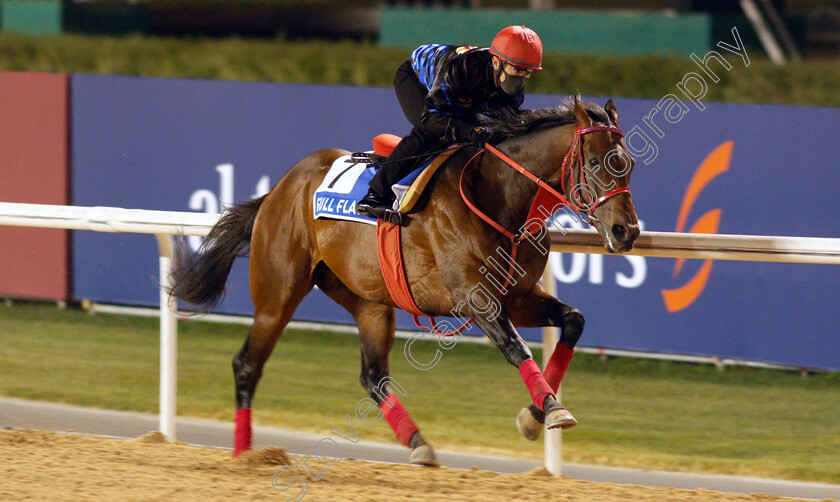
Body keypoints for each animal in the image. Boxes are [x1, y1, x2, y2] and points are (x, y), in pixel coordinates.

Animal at [172, 96, 644, 464]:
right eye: (598, 162)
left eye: (630, 164)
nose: (626, 231)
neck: (498, 193)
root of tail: (280, 188)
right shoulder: (476, 297)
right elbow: (517, 348)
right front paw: (553, 409)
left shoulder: (519, 296)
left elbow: (574, 321)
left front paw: (533, 416)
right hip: (278, 291)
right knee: (247, 364)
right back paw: (244, 457)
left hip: (369, 300)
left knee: (373, 375)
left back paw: (419, 444)